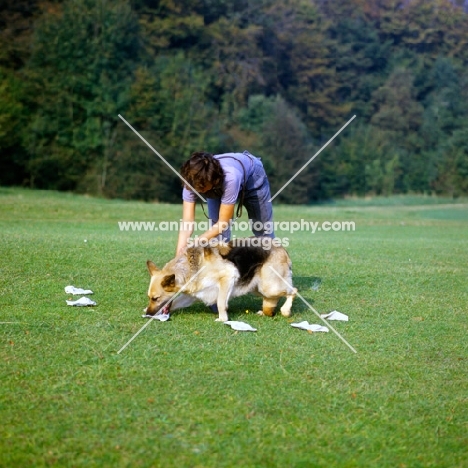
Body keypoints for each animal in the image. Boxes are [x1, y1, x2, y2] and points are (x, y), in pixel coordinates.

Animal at [145, 241, 296, 322]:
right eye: (150, 298)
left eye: (155, 298)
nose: (148, 314)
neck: (190, 268)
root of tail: (282, 248)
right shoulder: (192, 295)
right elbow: (176, 302)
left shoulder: (228, 277)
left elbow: (220, 303)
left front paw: (223, 319)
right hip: (257, 288)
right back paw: (266, 311)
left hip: (269, 287)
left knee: (293, 291)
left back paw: (285, 310)